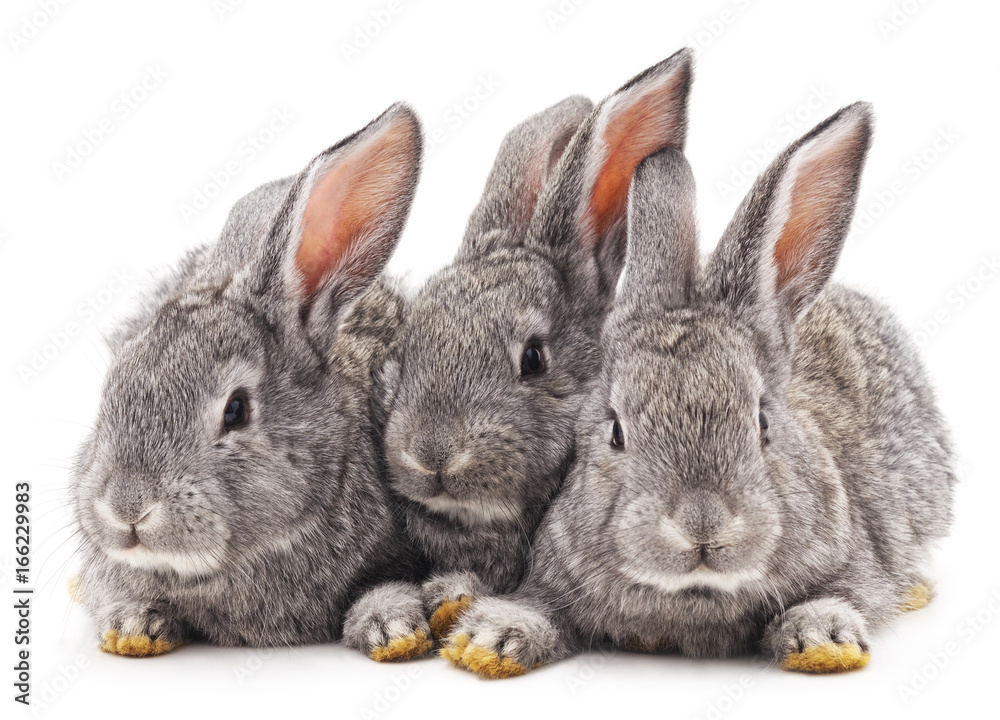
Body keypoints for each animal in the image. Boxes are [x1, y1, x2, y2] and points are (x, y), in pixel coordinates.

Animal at [442, 102, 957, 677]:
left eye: (762, 422)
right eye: (616, 432)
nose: (702, 524)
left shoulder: (858, 561)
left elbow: (842, 595)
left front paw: (822, 640)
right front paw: (489, 639)